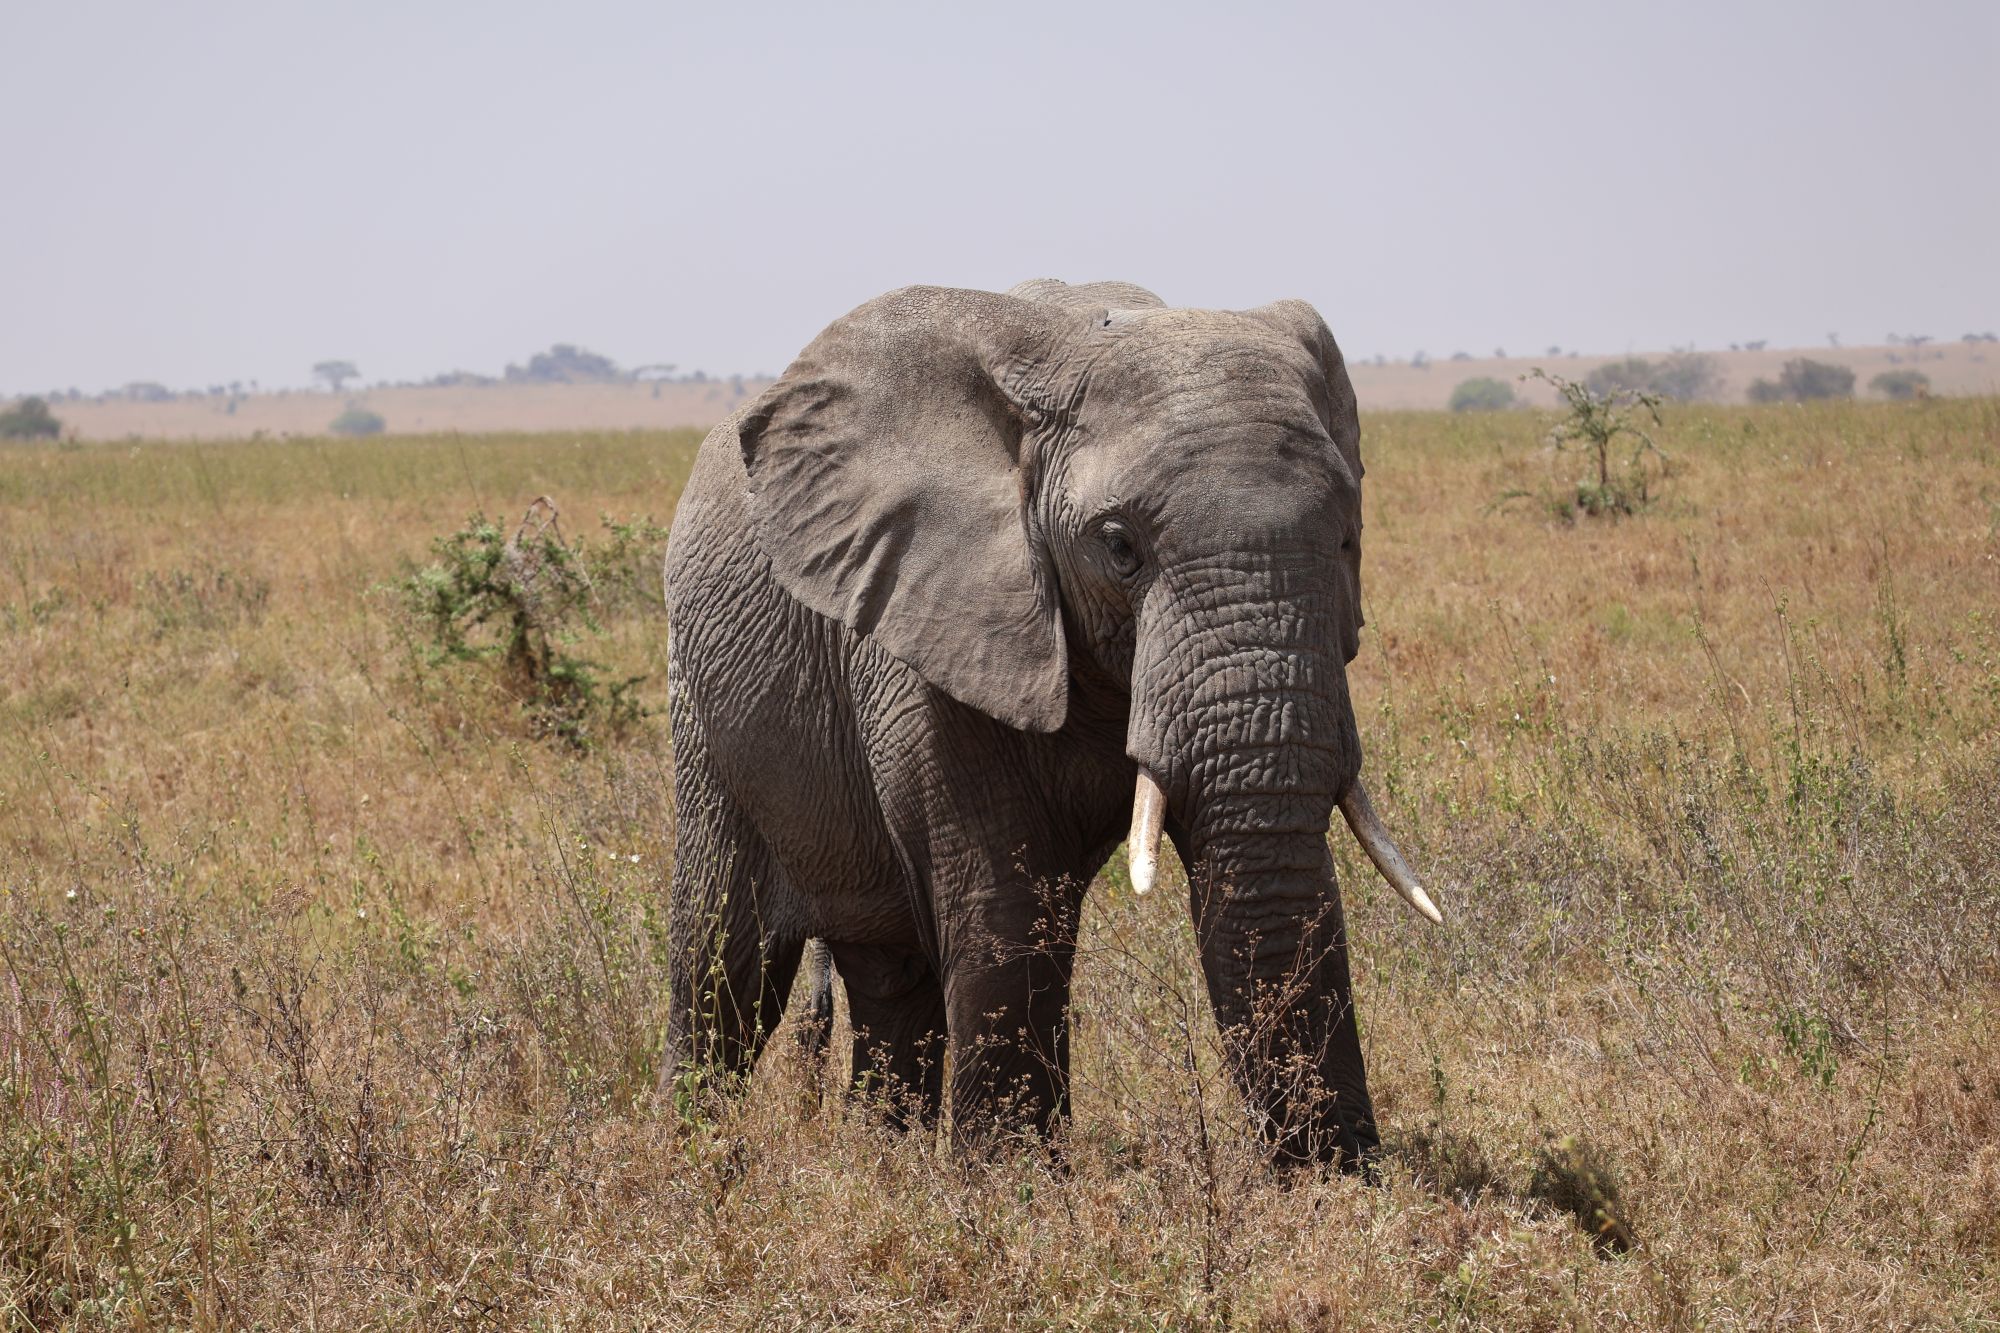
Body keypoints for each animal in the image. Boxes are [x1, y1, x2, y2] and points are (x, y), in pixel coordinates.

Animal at [661, 278, 1440, 1169]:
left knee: (892, 978)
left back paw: (884, 1164)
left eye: (1347, 537)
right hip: (705, 706)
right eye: (1118, 545)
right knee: (724, 970)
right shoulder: (933, 632)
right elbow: (1006, 896)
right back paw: (689, 1156)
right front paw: (1014, 1185)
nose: (1341, 1170)